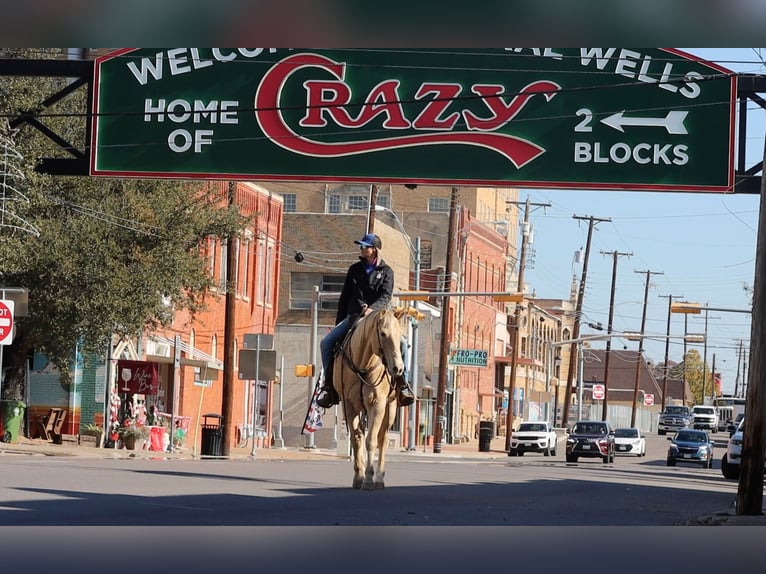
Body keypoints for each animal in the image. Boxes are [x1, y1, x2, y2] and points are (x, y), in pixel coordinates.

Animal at [334, 308, 412, 492]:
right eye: (382, 334)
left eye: (400, 335)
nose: (398, 368)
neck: (363, 366)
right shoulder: (348, 405)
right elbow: (356, 440)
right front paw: (359, 476)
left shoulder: (377, 404)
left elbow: (372, 441)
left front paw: (369, 479)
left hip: (390, 408)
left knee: (383, 439)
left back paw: (379, 478)